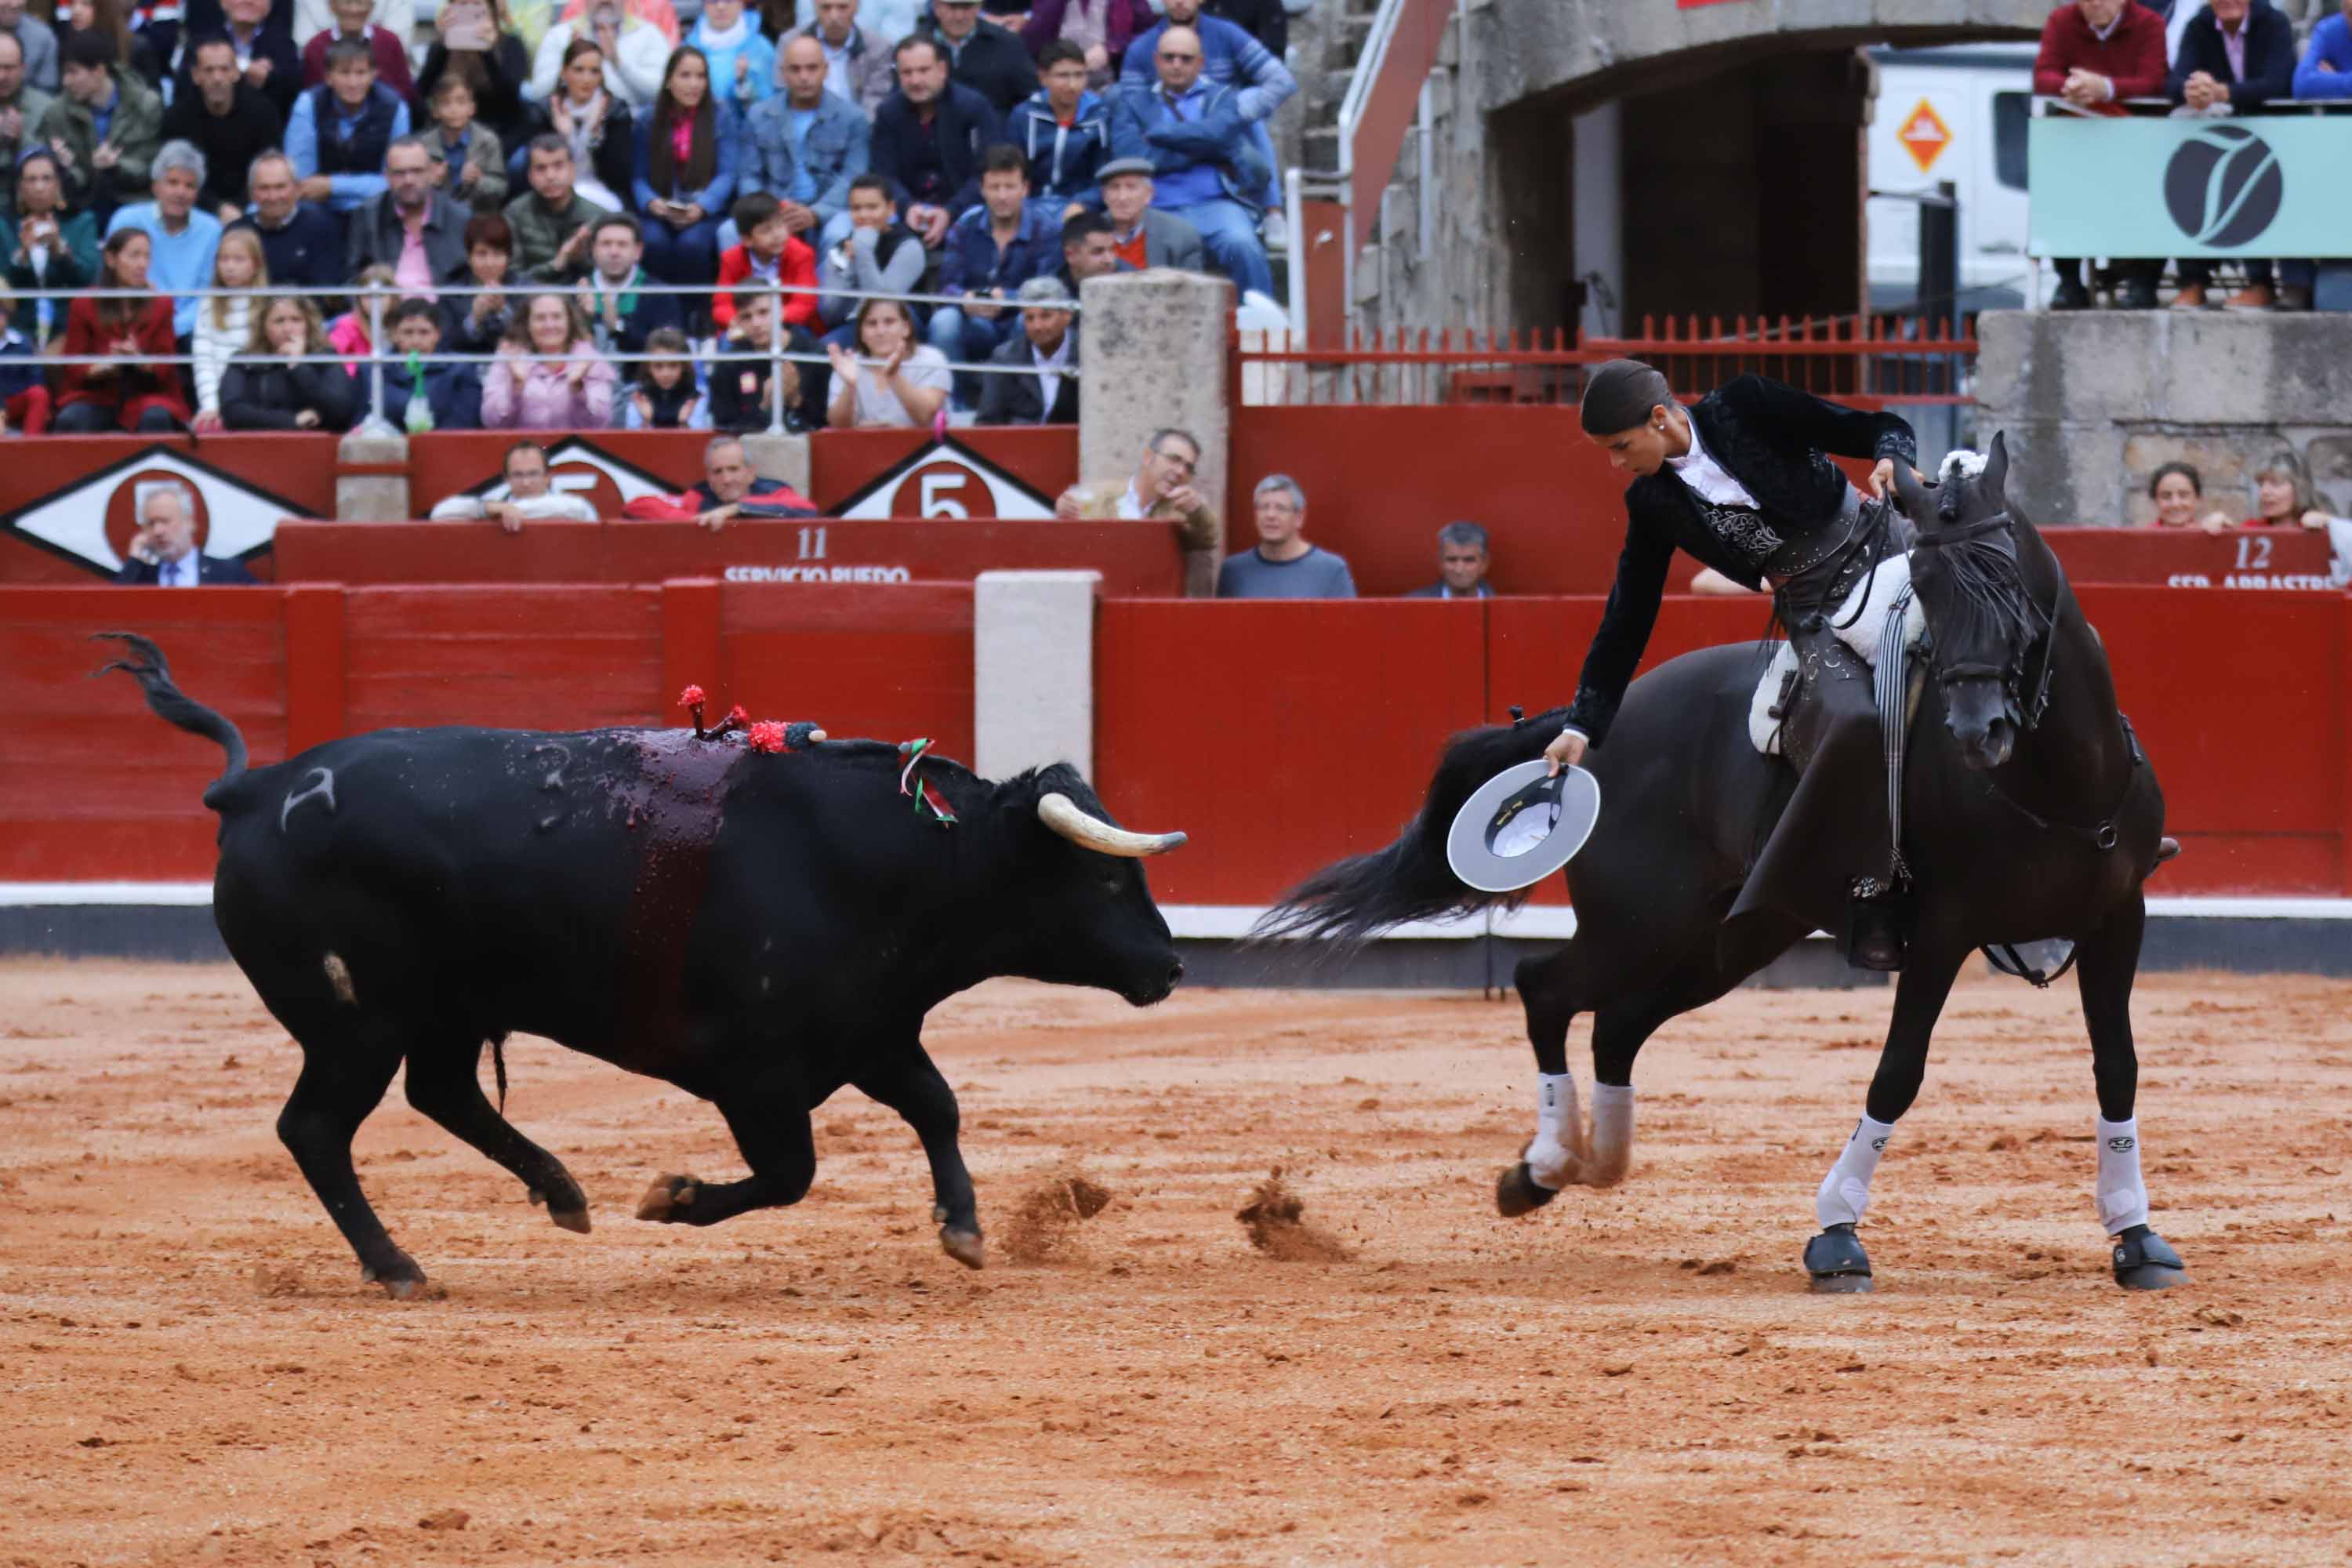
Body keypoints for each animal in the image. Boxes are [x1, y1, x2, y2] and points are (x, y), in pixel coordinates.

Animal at [99, 630, 1185, 1298]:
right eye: (1104, 877)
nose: (1171, 966)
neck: (886, 858)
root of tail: (253, 792)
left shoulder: (871, 1031)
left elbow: (938, 1106)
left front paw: (963, 1227)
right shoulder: (755, 1073)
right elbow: (791, 1170)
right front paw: (672, 1199)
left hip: (442, 1009)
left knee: (441, 1093)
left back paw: (561, 1194)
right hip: (352, 1023)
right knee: (318, 1127)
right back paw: (399, 1263)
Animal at [1270, 434, 2183, 1298]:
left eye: (2008, 574)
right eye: (1926, 585)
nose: (1976, 729)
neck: (2054, 784)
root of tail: (1591, 727)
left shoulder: (2119, 920)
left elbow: (2119, 1066)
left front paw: (2136, 1237)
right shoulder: (1942, 930)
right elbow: (1898, 1073)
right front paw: (1836, 1237)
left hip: (1727, 937)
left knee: (1615, 1024)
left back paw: (1590, 1160)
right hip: (1640, 923)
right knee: (1545, 987)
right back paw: (1546, 1165)